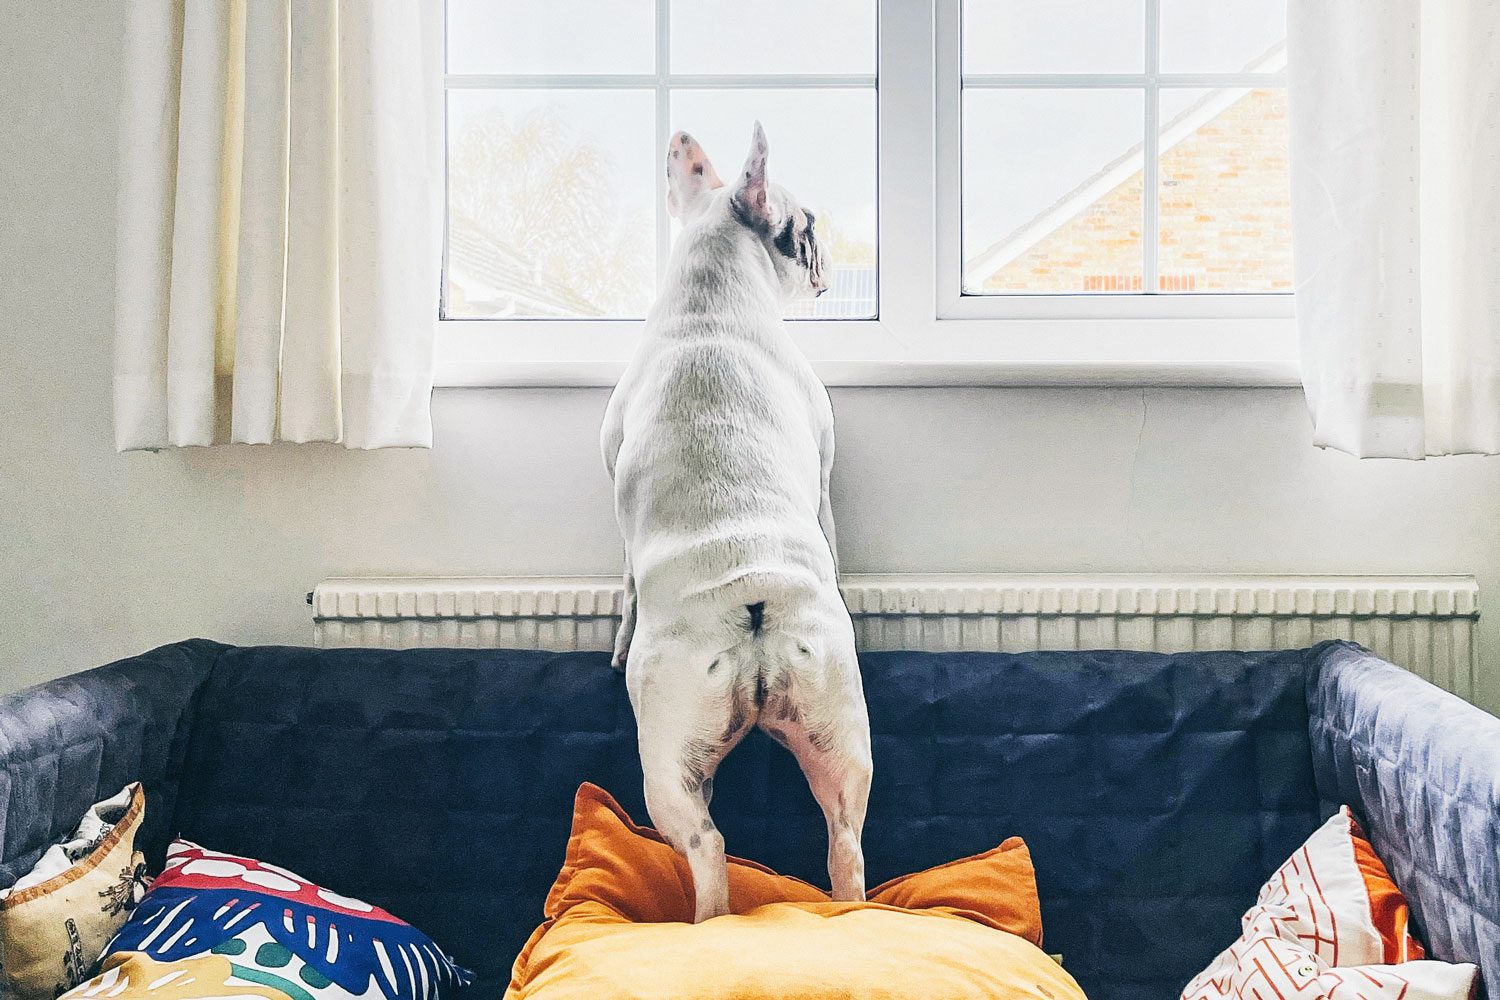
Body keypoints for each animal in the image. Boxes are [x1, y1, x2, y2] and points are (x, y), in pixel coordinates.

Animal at [603, 122, 876, 923]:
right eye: (808, 225)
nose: (825, 250)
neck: (712, 300)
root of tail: (753, 612)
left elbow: (624, 583)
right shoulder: (822, 469)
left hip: (667, 763)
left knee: (708, 848)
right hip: (837, 740)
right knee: (843, 843)